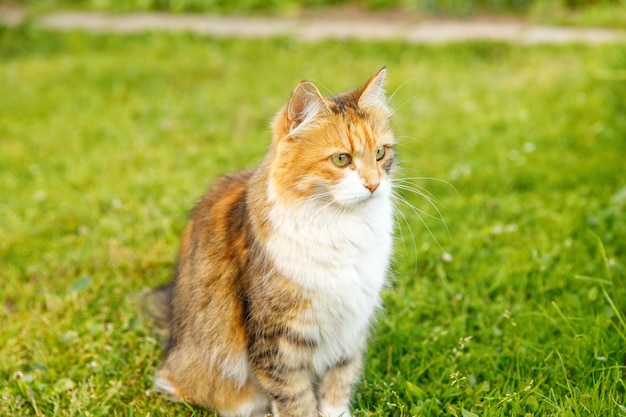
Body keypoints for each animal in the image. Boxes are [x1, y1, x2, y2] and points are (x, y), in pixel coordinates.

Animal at [152, 66, 394, 414]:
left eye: (380, 153)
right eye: (341, 159)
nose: (374, 185)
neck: (342, 225)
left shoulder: (349, 329)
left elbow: (337, 387)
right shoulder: (278, 337)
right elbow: (296, 400)